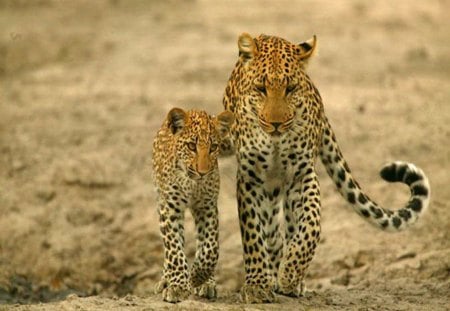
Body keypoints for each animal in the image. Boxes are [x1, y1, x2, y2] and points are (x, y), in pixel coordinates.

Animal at [223, 33, 430, 304]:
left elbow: (311, 226)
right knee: (271, 231)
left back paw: (289, 279)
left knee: (287, 228)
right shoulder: (250, 178)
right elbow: (253, 235)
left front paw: (290, 275)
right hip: (268, 186)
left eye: (290, 89)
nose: (276, 124)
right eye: (261, 88)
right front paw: (257, 286)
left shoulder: (302, 175)